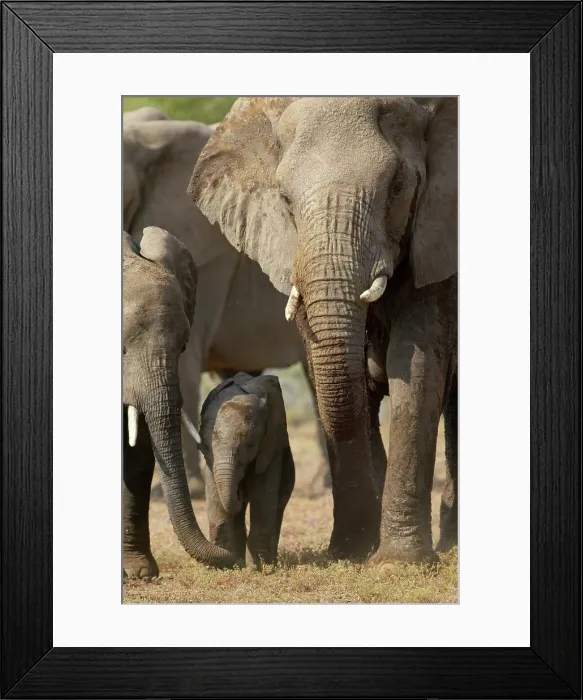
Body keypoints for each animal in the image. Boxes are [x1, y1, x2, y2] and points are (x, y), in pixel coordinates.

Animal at [199, 372, 295, 567]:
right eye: (207, 443)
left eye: (250, 445)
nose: (239, 491)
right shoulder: (211, 462)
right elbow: (217, 500)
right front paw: (225, 567)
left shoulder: (270, 450)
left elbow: (262, 497)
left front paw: (260, 568)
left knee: (277, 509)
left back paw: (268, 562)